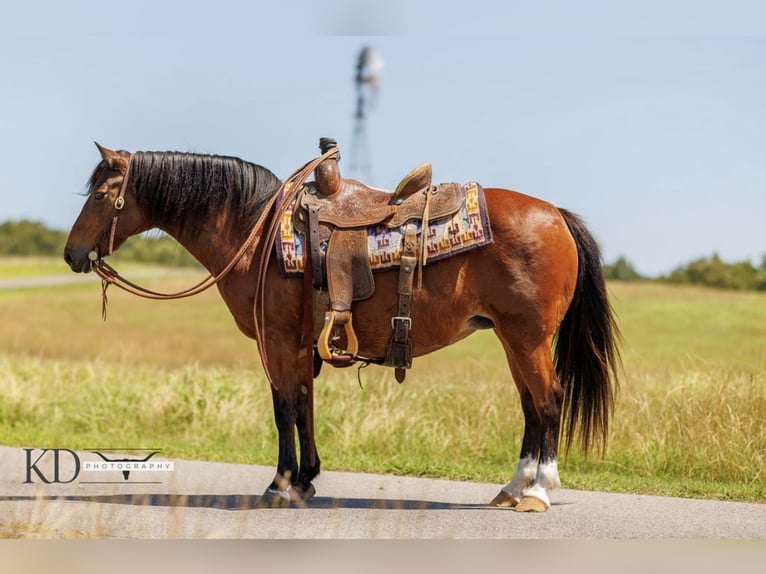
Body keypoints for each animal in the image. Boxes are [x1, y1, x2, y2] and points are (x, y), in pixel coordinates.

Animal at [64, 143, 620, 512]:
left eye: (101, 195)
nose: (72, 254)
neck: (255, 232)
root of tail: (556, 215)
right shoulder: (299, 343)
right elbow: (304, 403)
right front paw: (306, 479)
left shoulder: (277, 340)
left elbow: (284, 407)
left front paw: (280, 484)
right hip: (513, 340)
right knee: (531, 407)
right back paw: (512, 488)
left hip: (528, 338)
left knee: (548, 401)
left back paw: (539, 490)